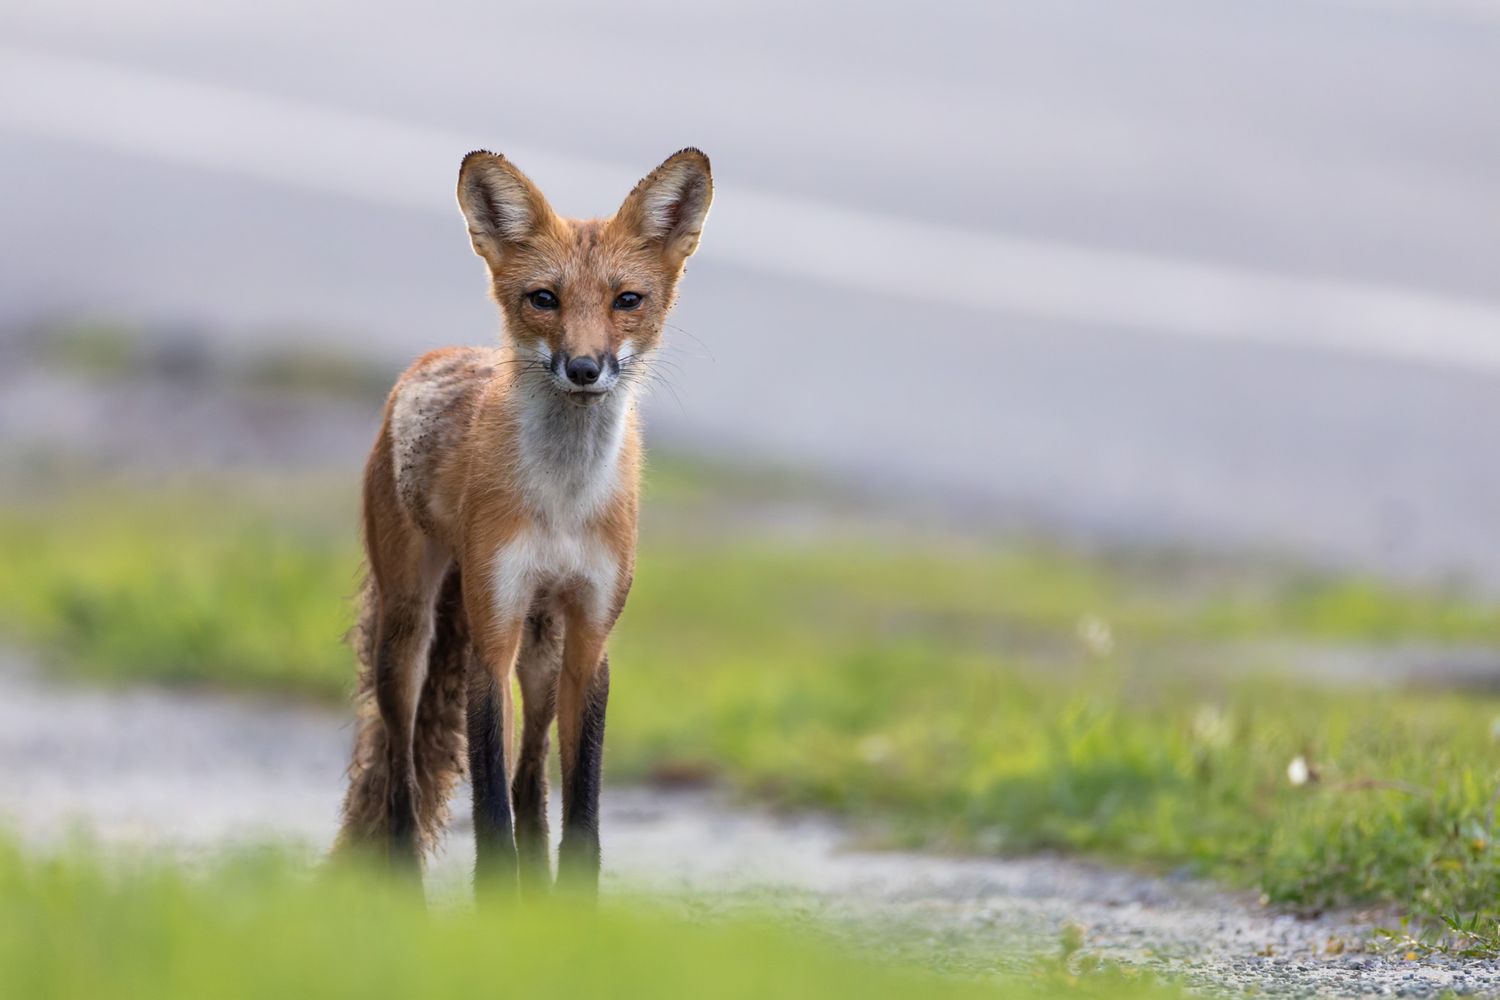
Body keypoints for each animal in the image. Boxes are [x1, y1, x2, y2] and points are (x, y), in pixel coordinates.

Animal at [334, 148, 713, 895]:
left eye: (627, 300)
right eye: (545, 298)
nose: (585, 368)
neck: (562, 503)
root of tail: (430, 360)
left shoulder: (590, 636)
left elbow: (577, 804)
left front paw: (567, 908)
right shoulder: (492, 637)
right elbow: (488, 811)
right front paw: (495, 902)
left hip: (542, 651)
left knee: (532, 779)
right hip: (410, 634)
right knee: (399, 776)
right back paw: (403, 889)